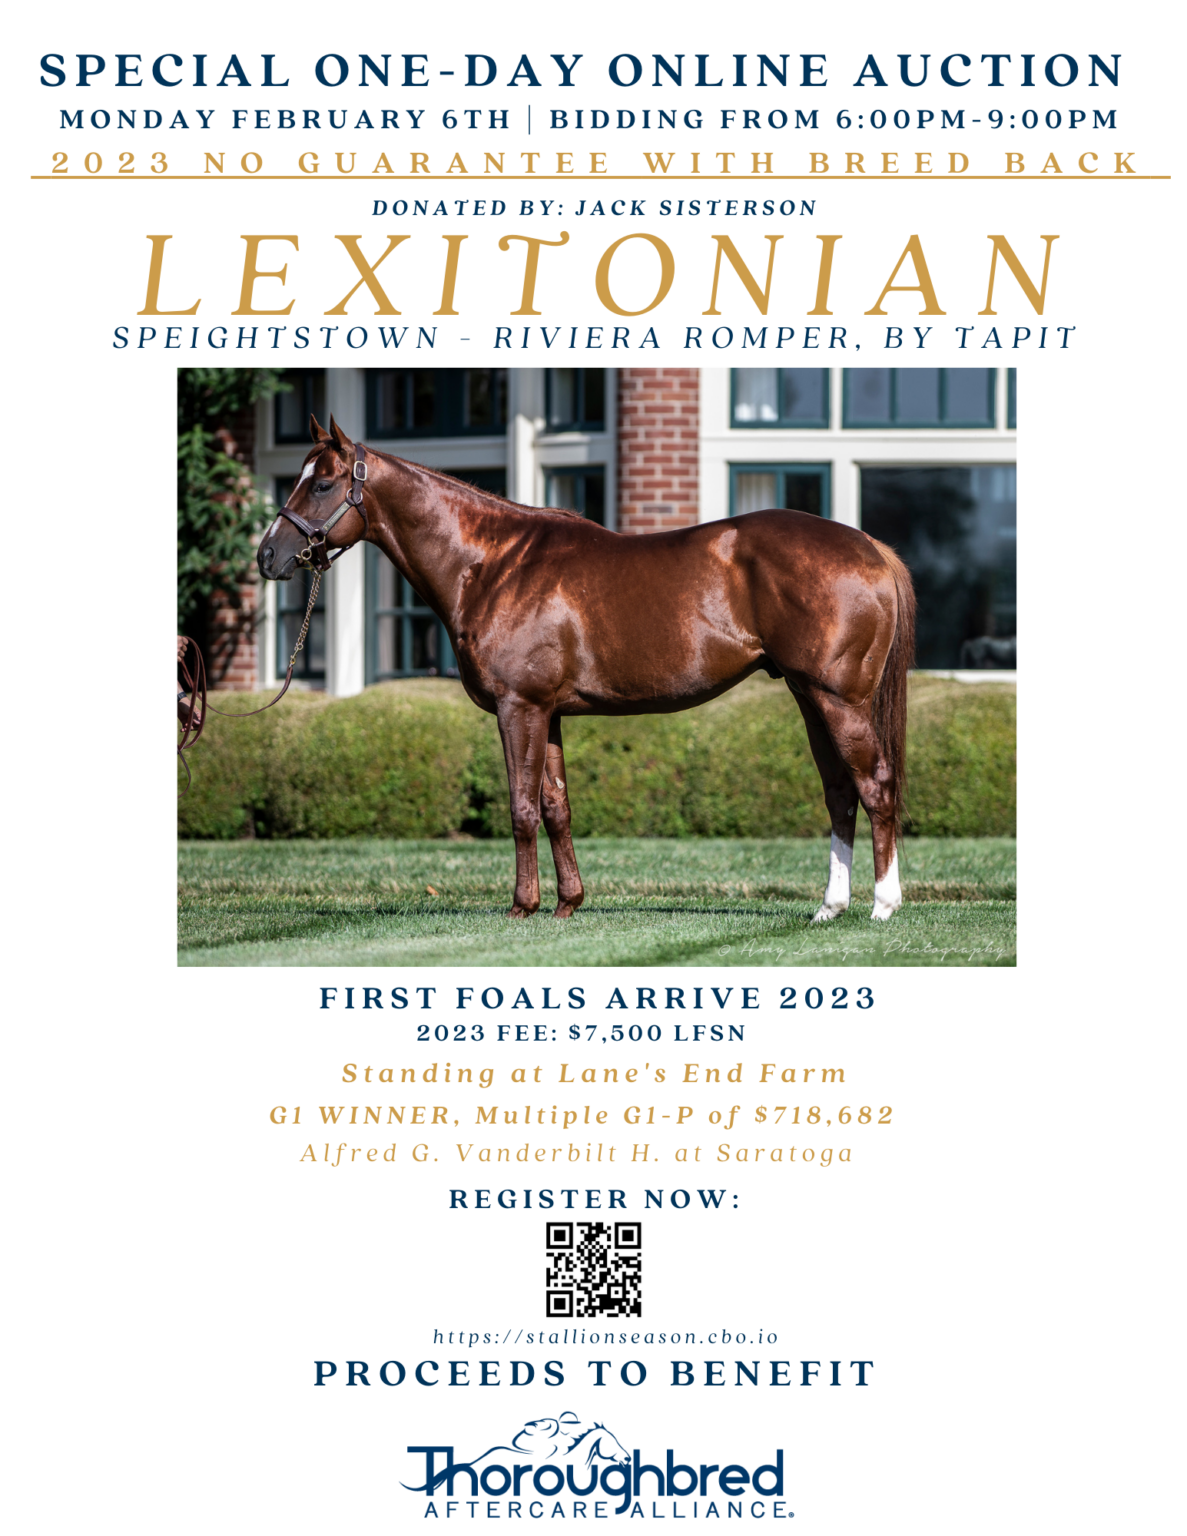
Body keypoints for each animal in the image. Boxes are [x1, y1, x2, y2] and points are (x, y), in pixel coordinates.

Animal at [258, 416, 916, 923]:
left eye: (321, 483)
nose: (268, 556)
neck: (491, 564)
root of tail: (871, 549)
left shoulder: (518, 707)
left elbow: (522, 808)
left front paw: (522, 907)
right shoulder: (547, 713)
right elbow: (556, 808)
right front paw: (567, 903)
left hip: (839, 699)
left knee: (875, 784)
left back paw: (883, 906)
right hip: (809, 697)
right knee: (840, 794)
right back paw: (829, 908)